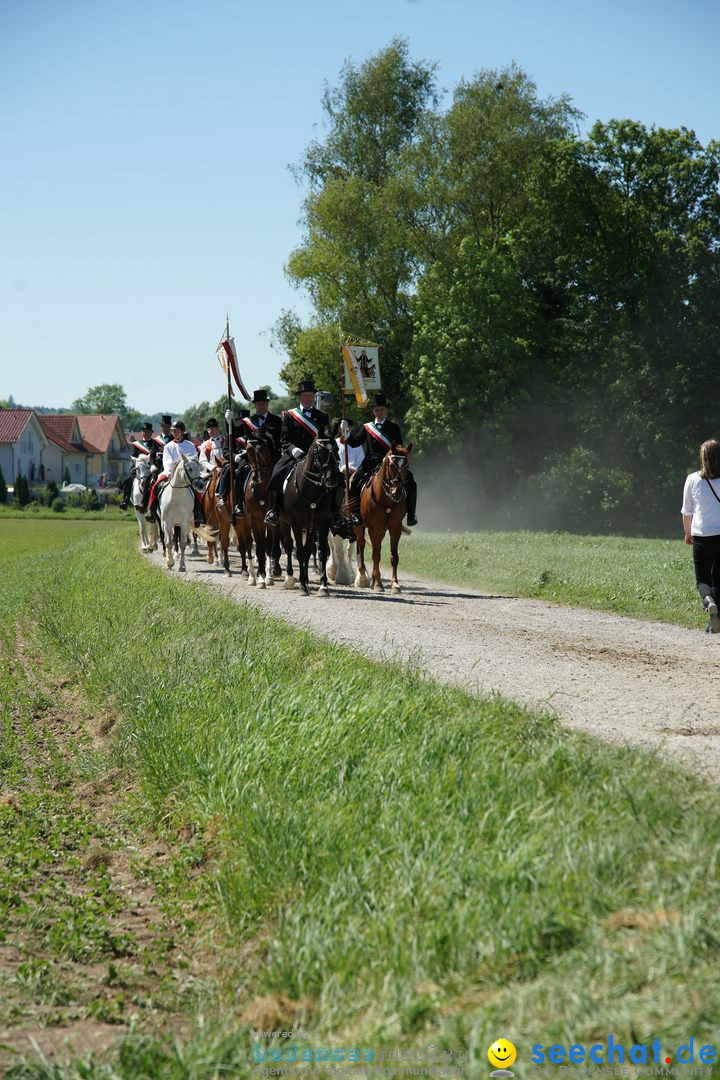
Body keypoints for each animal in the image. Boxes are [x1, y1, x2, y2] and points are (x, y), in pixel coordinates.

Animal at [278, 434, 341, 596]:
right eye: (320, 450)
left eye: (336, 449)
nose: (333, 477)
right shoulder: (296, 523)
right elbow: (300, 551)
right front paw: (302, 585)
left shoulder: (320, 523)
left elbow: (320, 552)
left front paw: (323, 586)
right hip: (284, 523)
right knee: (288, 545)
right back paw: (290, 577)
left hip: (309, 528)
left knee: (307, 550)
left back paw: (305, 579)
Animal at [356, 447, 414, 600]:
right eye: (390, 465)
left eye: (406, 466)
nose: (397, 492)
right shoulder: (373, 528)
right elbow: (376, 555)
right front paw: (378, 584)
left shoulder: (395, 528)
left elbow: (394, 556)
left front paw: (395, 585)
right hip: (359, 526)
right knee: (361, 545)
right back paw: (363, 577)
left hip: (382, 531)